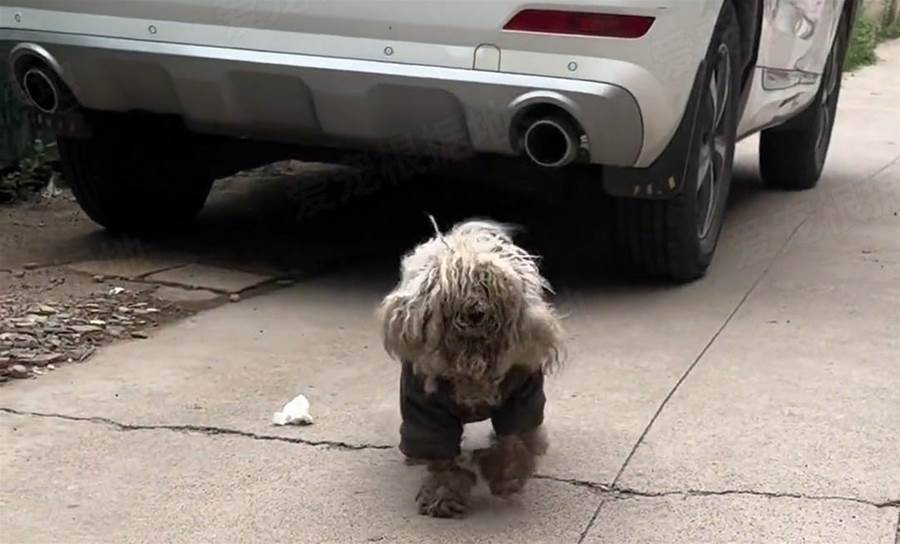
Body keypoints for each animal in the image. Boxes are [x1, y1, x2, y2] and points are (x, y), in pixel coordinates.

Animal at [379, 218, 563, 518]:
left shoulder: (521, 400)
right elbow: (441, 457)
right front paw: (443, 495)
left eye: (488, 286)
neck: (473, 358)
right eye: (455, 292)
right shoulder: (427, 411)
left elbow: (514, 440)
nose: (476, 311)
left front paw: (507, 476)